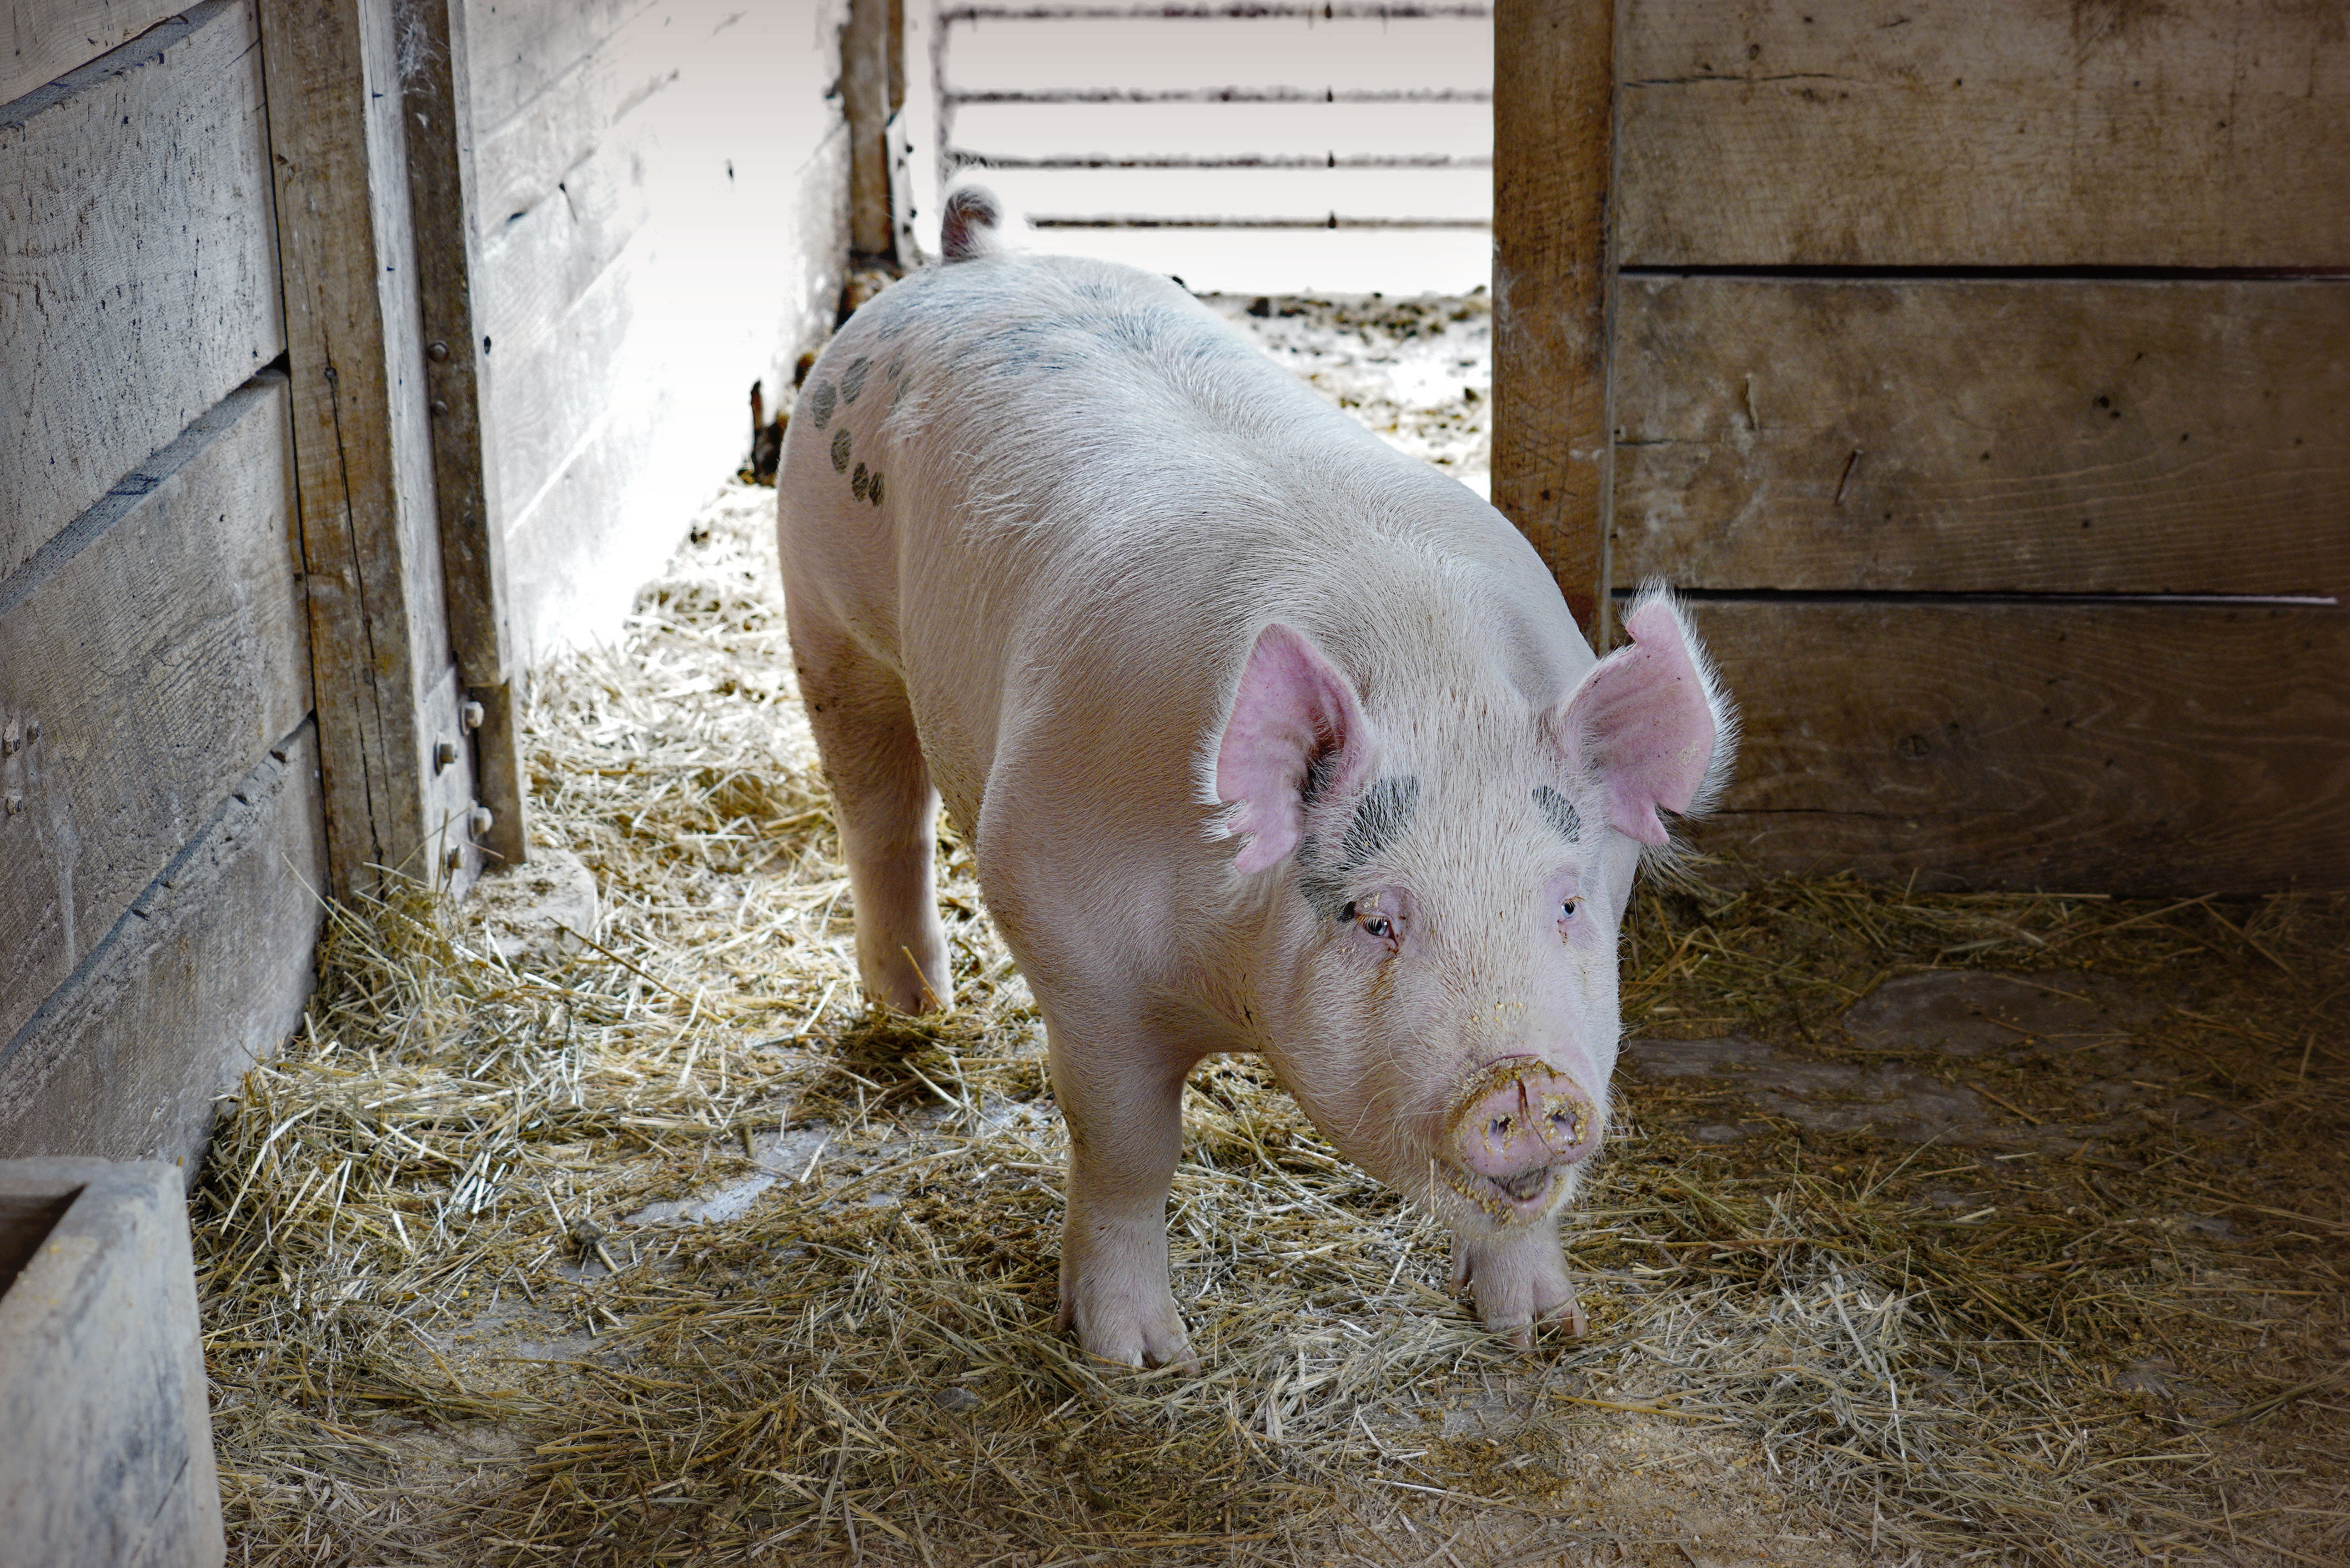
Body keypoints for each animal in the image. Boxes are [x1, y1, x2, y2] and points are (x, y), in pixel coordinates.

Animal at [777, 185, 1735, 1368]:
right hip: (821, 602)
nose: (1521, 1080)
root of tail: (974, 260)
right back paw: (914, 1006)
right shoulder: (1070, 944)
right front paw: (1136, 1360)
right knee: (879, 807)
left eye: (1564, 901)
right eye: (1372, 916)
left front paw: (1540, 1327)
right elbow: (1126, 1148)